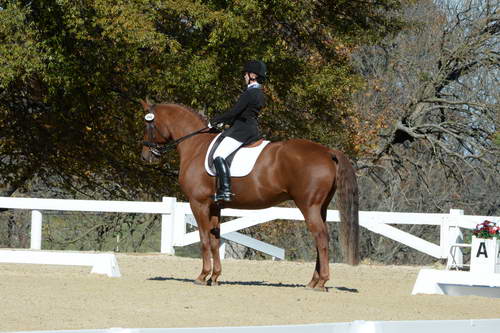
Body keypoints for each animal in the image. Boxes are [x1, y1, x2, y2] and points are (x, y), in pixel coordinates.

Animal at [141, 100, 360, 290]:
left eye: (148, 123)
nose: (145, 156)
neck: (196, 145)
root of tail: (327, 151)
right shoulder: (215, 206)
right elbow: (215, 239)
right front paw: (215, 277)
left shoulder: (198, 203)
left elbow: (204, 239)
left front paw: (202, 277)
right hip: (321, 207)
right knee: (321, 239)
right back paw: (313, 281)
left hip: (308, 206)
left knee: (320, 238)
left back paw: (321, 282)